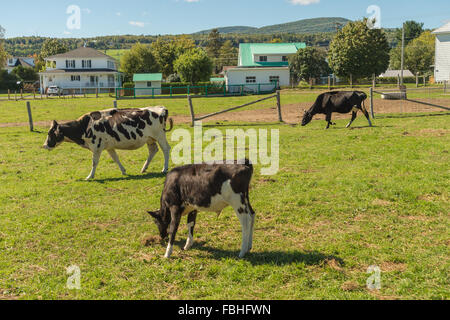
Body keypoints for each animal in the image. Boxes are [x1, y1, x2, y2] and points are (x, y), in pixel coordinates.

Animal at [42, 106, 172, 179]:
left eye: (50, 134)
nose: (44, 146)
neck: (84, 126)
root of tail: (161, 108)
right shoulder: (109, 147)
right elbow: (115, 158)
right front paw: (123, 171)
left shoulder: (96, 147)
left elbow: (94, 162)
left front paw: (90, 176)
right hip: (150, 139)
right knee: (153, 150)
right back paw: (144, 168)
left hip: (160, 135)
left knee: (166, 149)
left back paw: (164, 168)